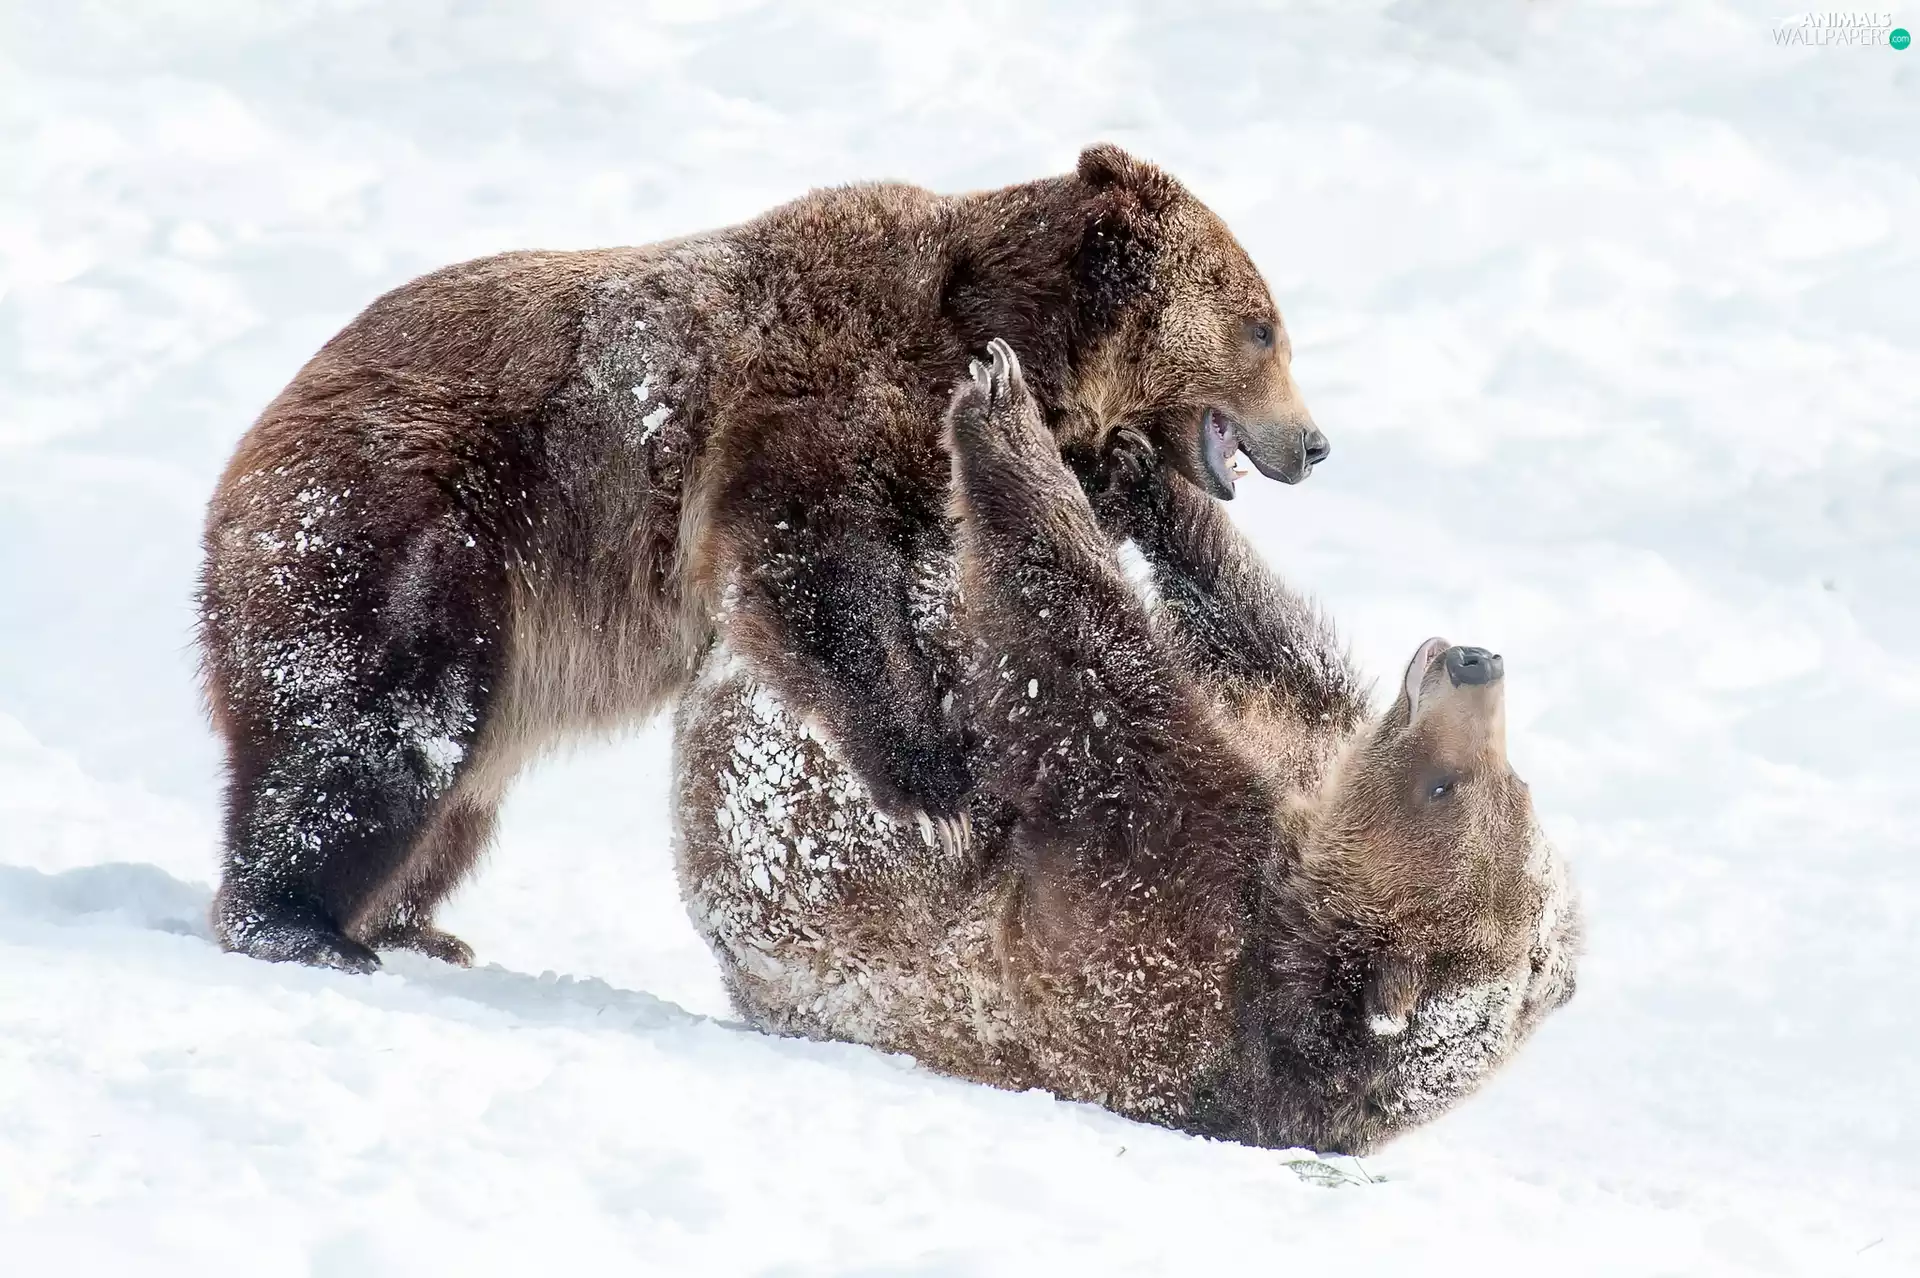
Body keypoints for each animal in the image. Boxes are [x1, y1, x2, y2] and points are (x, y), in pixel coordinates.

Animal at [197, 145, 1329, 971]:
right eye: (1263, 326)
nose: (1314, 443)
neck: (987, 331)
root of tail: (257, 434)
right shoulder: (811, 407)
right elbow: (817, 582)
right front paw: (942, 782)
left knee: (455, 791)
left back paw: (411, 923)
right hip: (421, 517)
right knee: (377, 725)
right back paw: (298, 920)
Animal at [670, 340, 1579, 1154]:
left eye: (1446, 788)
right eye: (1520, 787)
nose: (1472, 662)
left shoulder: (1161, 923)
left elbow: (1088, 669)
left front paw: (1001, 409)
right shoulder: (1292, 741)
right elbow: (1258, 630)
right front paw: (1147, 471)